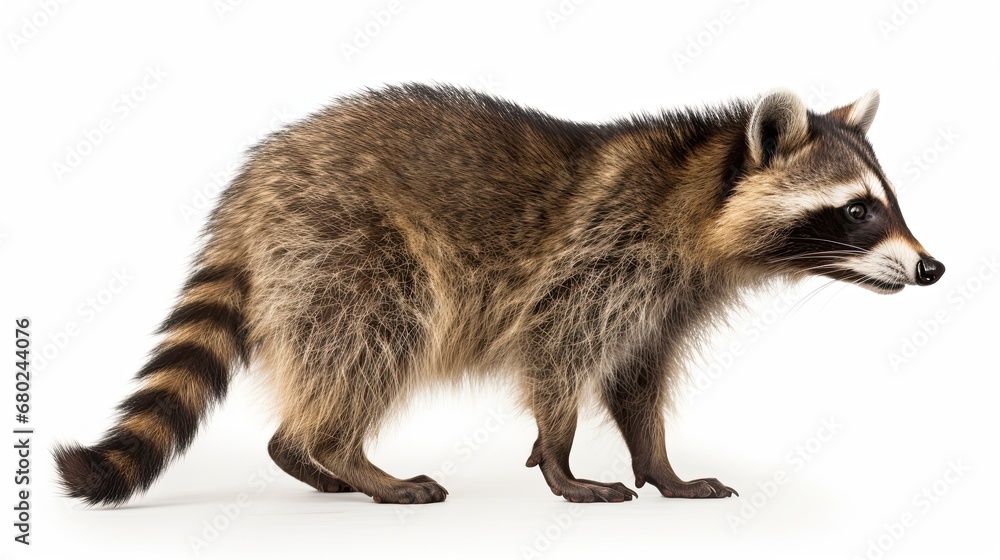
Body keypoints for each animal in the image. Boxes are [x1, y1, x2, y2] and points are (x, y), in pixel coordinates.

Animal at [55, 84, 944, 506]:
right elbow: (556, 350)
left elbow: (637, 381)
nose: (931, 269)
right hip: (343, 246)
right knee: (374, 335)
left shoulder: (661, 299)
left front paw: (661, 466)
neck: (694, 186)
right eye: (857, 211)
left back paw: (308, 454)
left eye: (890, 201)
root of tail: (250, 189)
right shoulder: (605, 256)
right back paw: (342, 450)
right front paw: (560, 456)